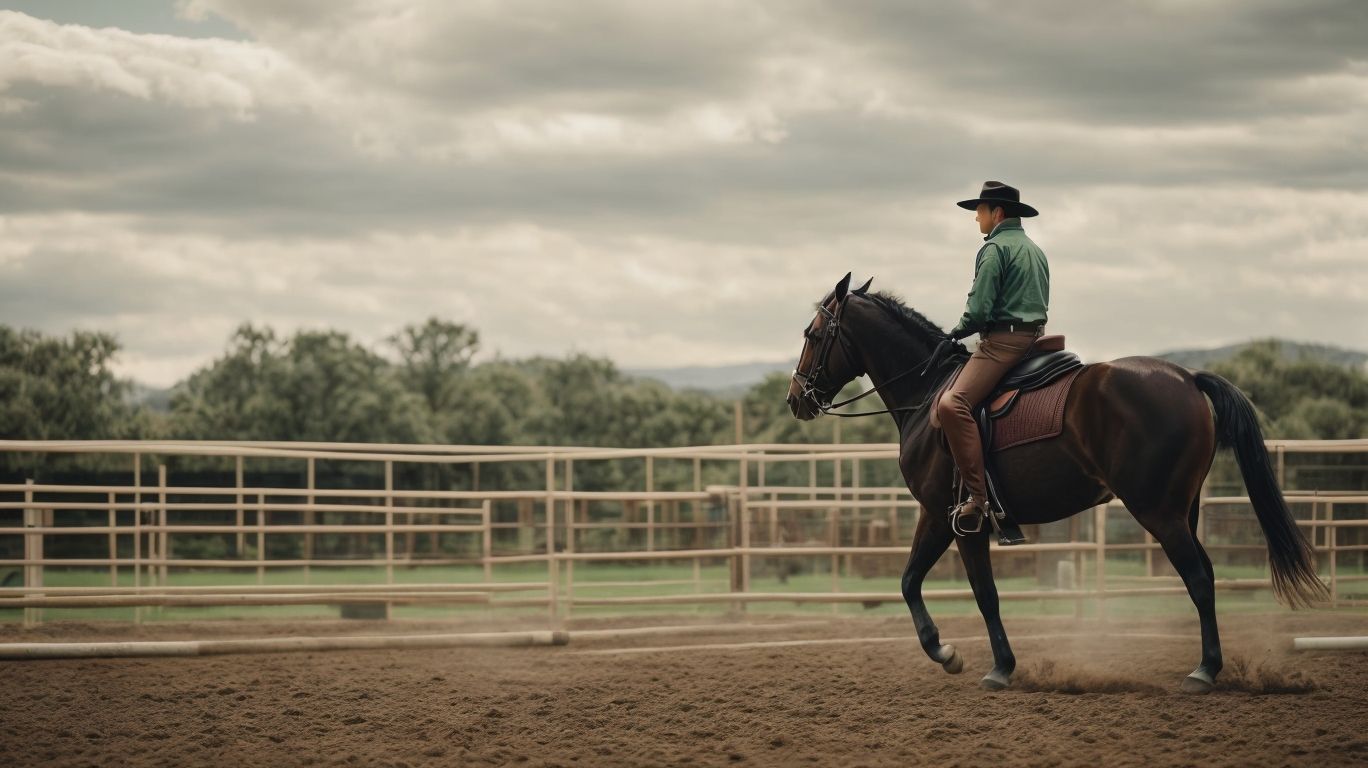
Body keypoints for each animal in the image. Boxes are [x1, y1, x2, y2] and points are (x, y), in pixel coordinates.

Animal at [786, 272, 1326, 693]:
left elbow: (979, 593)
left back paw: (1204, 672)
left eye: (813, 332)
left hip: (1158, 511)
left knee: (1198, 579)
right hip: (1182, 509)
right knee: (1206, 575)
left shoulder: (955, 518)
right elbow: (910, 580)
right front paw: (951, 653)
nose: (796, 398)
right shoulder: (938, 518)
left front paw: (984, 664)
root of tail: (1187, 378)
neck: (929, 393)